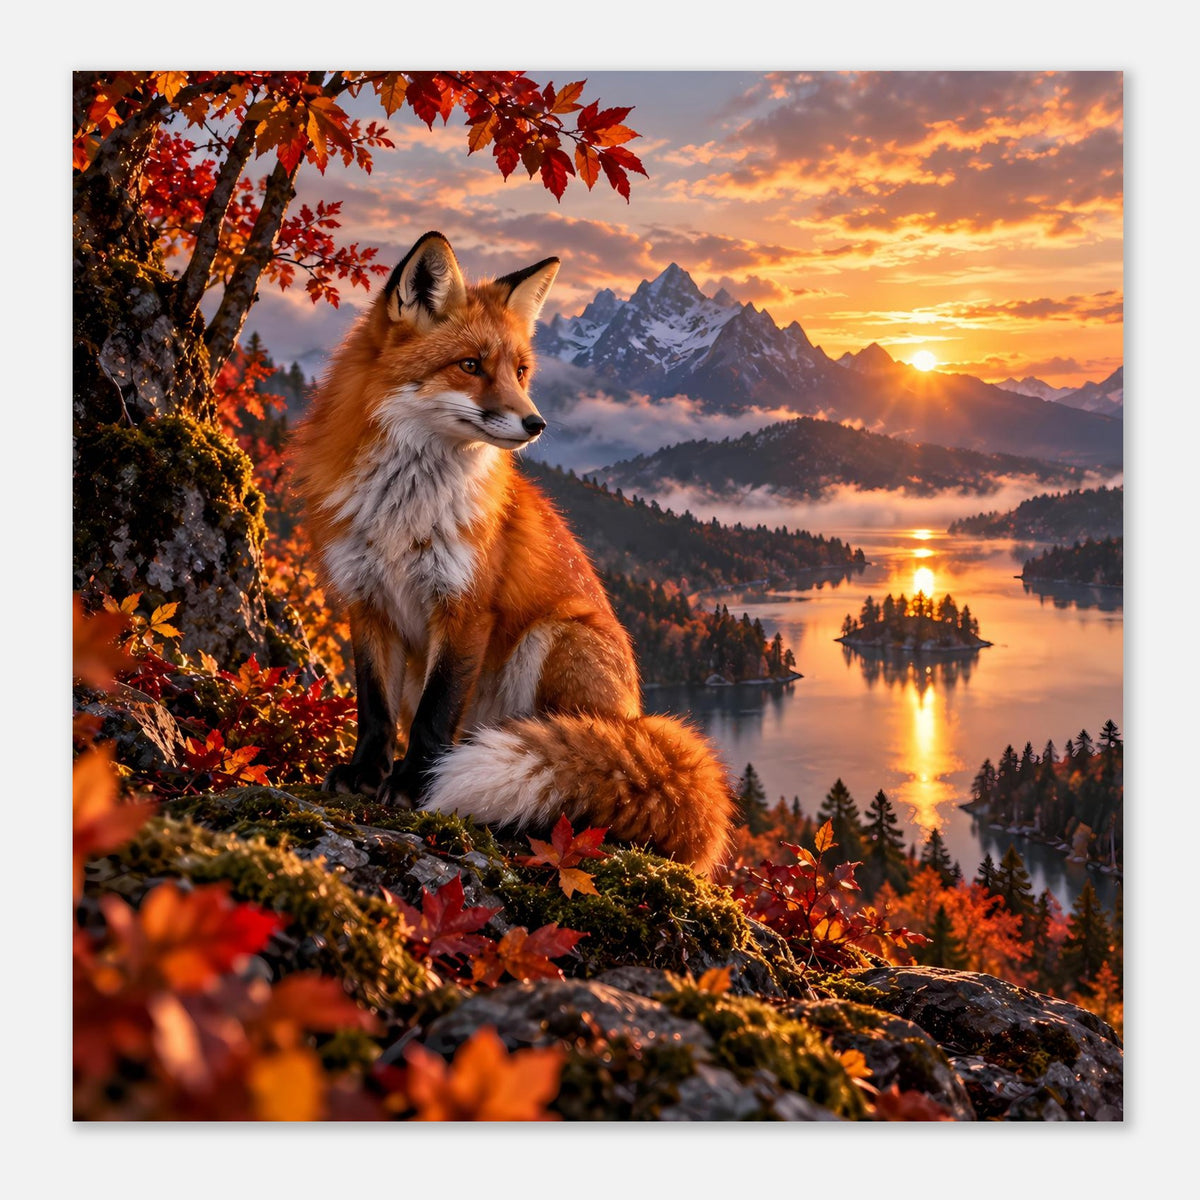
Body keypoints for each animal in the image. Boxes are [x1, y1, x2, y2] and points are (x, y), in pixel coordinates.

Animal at [292, 231, 734, 877]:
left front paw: (414, 787)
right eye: (471, 365)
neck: (404, 511)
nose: (536, 423)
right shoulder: (366, 599)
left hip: (553, 638)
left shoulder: (466, 606)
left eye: (521, 371)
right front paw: (365, 775)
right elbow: (374, 709)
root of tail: (637, 718)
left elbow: (434, 714)